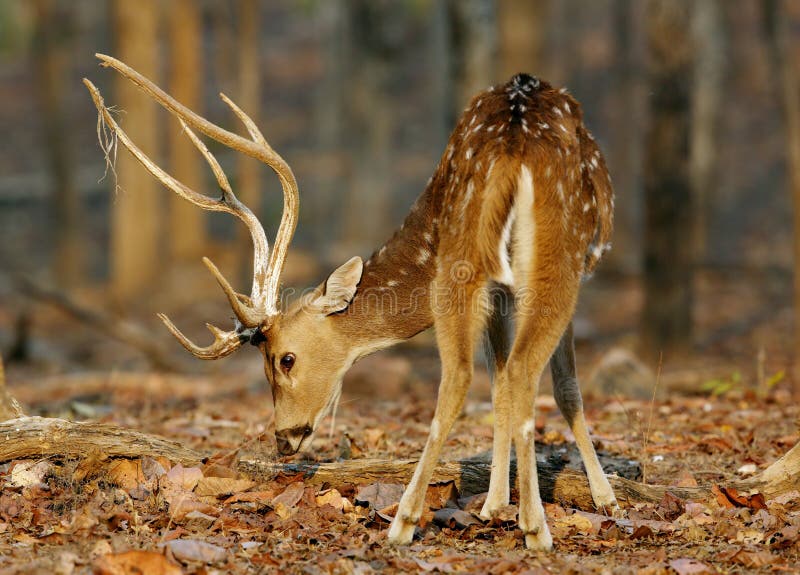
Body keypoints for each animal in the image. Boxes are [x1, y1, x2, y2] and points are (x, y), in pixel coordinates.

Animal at [84, 55, 616, 552]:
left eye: (285, 359)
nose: (283, 438)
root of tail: (511, 145)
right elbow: (535, 382)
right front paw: (567, 499)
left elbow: (525, 381)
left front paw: (518, 501)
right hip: (546, 257)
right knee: (501, 371)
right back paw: (507, 526)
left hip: (501, 256)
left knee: (482, 373)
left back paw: (432, 522)